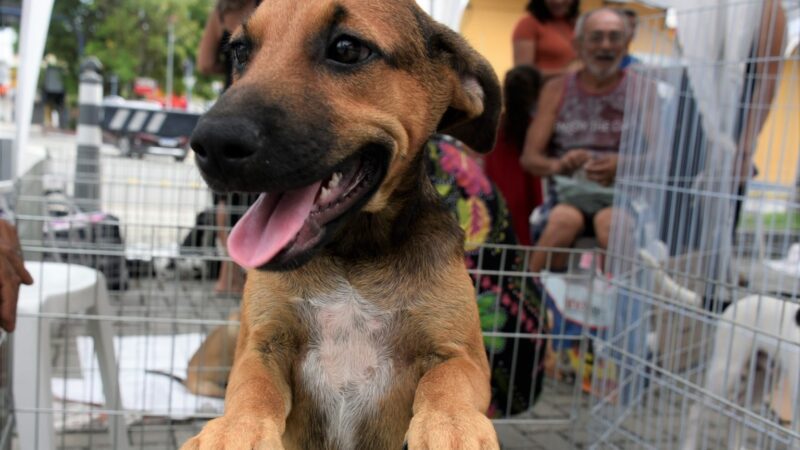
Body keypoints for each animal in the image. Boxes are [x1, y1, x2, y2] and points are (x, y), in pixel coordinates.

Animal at [184, 1, 504, 448]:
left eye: (347, 49)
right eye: (240, 52)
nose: (210, 144)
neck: (354, 254)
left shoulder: (461, 353)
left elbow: (448, 384)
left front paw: (453, 427)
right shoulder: (260, 346)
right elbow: (252, 390)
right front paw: (236, 431)